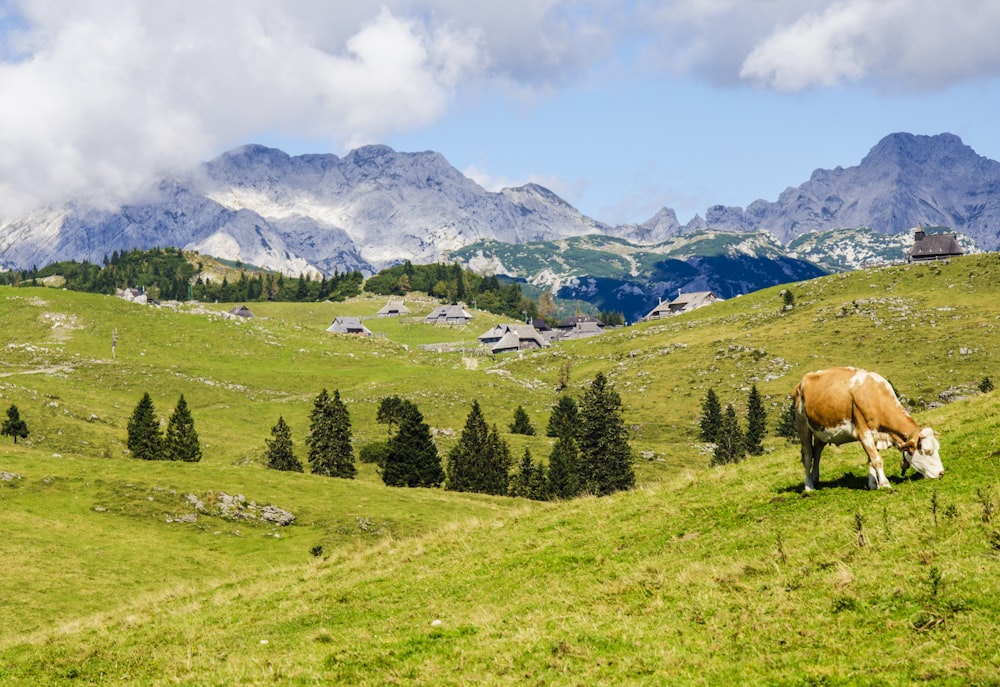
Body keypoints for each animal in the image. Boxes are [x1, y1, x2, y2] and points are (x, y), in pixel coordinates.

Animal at [792, 368, 940, 492]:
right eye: (927, 451)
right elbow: (877, 460)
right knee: (807, 455)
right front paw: (885, 484)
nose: (941, 472)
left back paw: (815, 479)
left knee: (817, 452)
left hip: (820, 430)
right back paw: (809, 486)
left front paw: (873, 484)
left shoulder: (875, 435)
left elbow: (870, 460)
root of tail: (802, 381)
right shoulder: (864, 434)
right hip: (802, 425)